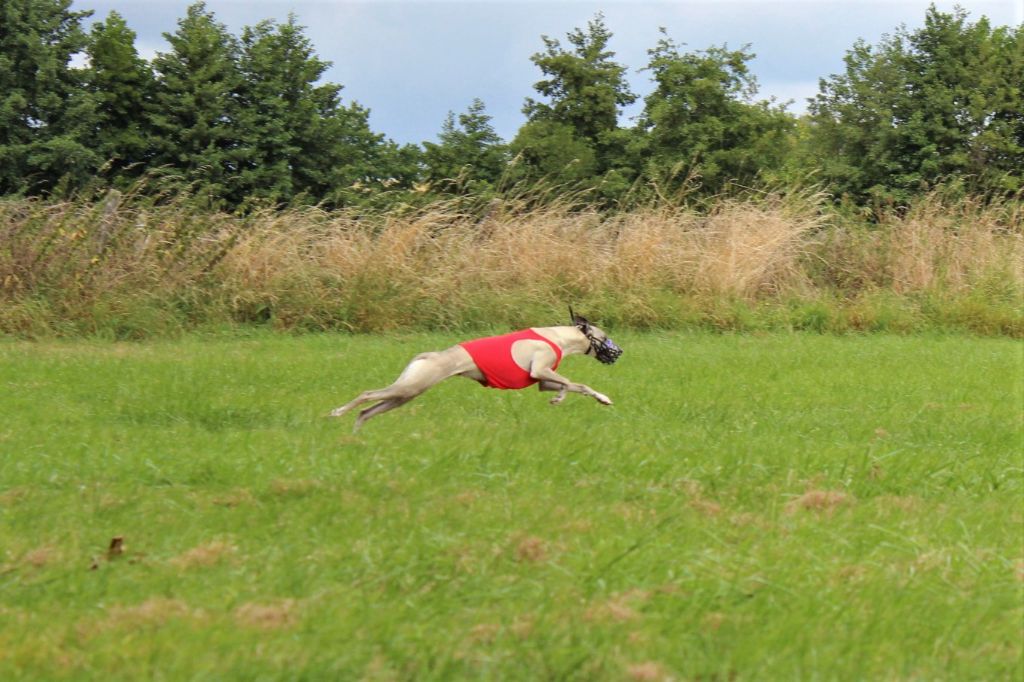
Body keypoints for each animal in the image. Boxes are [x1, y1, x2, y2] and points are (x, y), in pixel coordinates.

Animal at [333, 309, 622, 430]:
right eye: (605, 336)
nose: (618, 352)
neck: (558, 336)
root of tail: (429, 355)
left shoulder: (542, 380)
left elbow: (573, 385)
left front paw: (598, 398)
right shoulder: (541, 369)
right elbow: (571, 381)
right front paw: (563, 398)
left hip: (406, 394)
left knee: (367, 411)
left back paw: (356, 433)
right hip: (410, 387)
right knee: (366, 394)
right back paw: (337, 413)